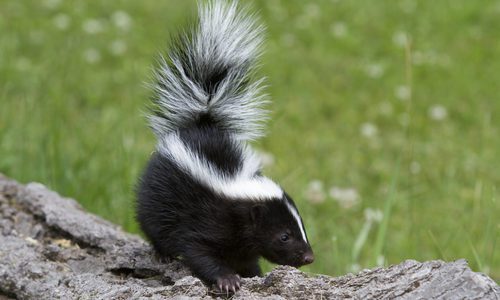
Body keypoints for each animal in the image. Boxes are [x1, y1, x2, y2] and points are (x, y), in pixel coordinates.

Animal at [136, 0, 312, 294]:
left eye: (301, 227)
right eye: (284, 236)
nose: (309, 257)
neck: (233, 188)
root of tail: (203, 120)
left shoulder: (241, 240)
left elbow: (245, 257)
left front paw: (252, 273)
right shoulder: (204, 220)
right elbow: (199, 251)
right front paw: (227, 280)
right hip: (157, 194)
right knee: (152, 222)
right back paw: (162, 253)